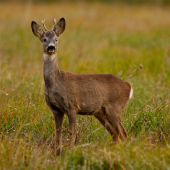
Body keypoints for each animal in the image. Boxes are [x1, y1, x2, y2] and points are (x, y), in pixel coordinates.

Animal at [31, 17, 133, 154]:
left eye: (56, 39)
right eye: (44, 39)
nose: (51, 48)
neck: (56, 82)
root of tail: (128, 86)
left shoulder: (72, 106)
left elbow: (72, 132)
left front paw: (70, 151)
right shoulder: (56, 109)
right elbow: (58, 131)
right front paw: (57, 151)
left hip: (115, 107)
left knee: (123, 133)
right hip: (101, 112)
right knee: (115, 134)